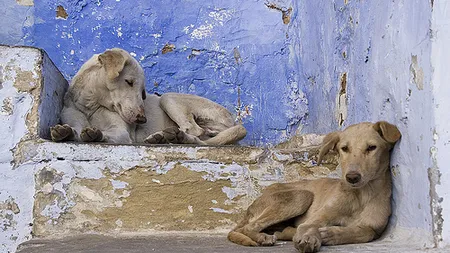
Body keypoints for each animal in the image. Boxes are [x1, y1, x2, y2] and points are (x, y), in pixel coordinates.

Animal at [51, 48, 248, 145]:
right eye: (129, 82)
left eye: (144, 92)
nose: (142, 119)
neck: (90, 104)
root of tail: (233, 120)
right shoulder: (76, 119)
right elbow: (75, 130)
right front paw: (66, 132)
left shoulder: (122, 133)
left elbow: (107, 134)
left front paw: (97, 134)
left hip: (168, 98)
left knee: (195, 132)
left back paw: (174, 137)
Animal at [229, 121, 400, 252]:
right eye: (344, 148)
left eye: (371, 148)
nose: (352, 177)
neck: (361, 195)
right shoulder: (317, 218)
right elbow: (309, 226)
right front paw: (309, 238)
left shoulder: (374, 228)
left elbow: (364, 232)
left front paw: (332, 234)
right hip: (301, 196)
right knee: (248, 227)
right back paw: (263, 237)